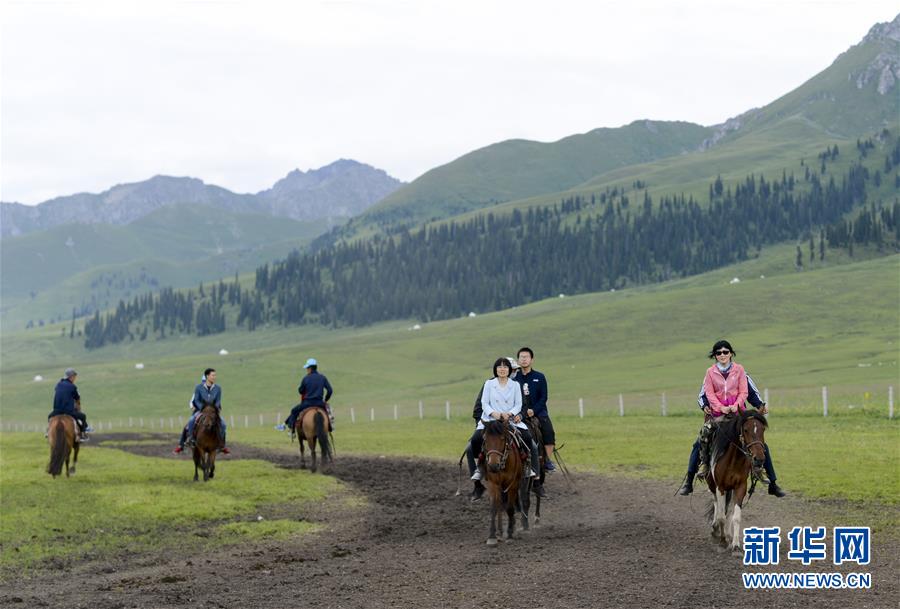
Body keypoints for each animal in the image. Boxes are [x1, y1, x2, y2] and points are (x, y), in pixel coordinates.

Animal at [486, 418, 528, 548]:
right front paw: (492, 537)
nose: (493, 466)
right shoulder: (493, 484)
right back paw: (499, 532)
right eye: (485, 438)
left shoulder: (513, 484)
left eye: (502, 439)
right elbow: (494, 508)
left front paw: (509, 535)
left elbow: (510, 508)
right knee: (500, 504)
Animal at [704, 408, 768, 552]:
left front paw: (735, 544)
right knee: (716, 504)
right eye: (746, 430)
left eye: (762, 429)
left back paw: (728, 534)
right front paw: (722, 541)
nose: (759, 459)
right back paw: (715, 528)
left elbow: (735, 516)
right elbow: (721, 515)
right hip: (712, 484)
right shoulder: (720, 487)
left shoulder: (740, 486)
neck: (733, 461)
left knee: (729, 510)